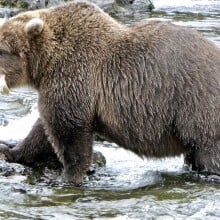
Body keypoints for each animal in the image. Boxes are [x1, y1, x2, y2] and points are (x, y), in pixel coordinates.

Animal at [0, 0, 220, 185]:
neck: (46, 64)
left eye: (2, 50)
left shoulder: (74, 76)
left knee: (208, 152)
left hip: (196, 103)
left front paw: (68, 176)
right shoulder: (58, 87)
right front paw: (11, 151)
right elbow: (43, 129)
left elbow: (68, 131)